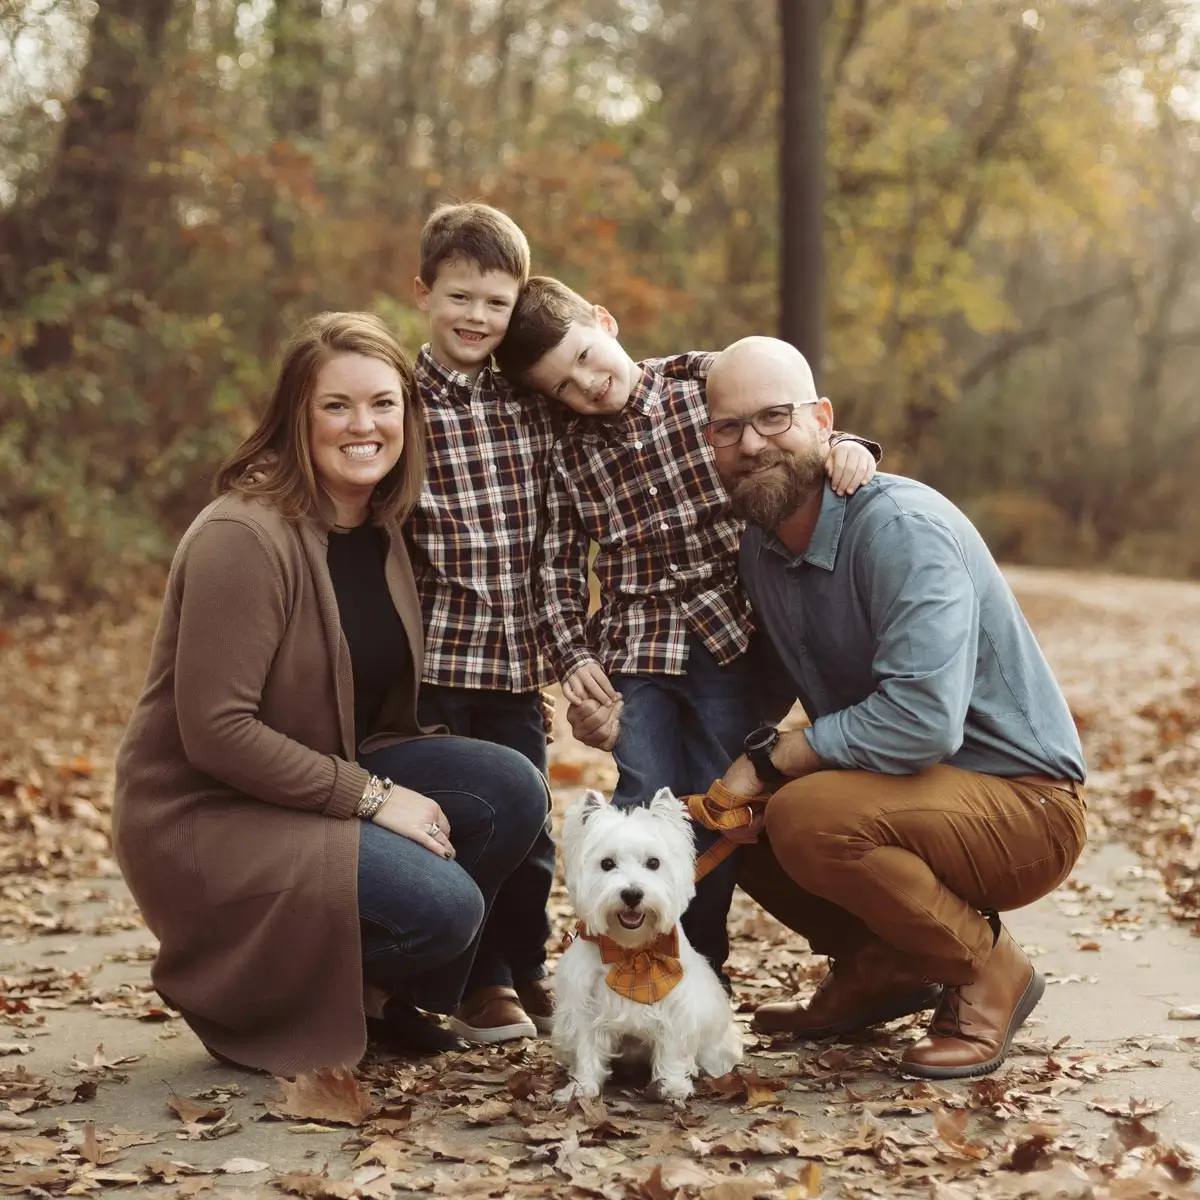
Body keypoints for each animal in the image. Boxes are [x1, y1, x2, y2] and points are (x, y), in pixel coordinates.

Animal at [552, 787, 739, 1104]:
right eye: (606, 864)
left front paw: (672, 1086)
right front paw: (581, 1088)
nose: (632, 894)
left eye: (654, 863)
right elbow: (586, 1046)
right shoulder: (582, 1004)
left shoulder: (678, 1005)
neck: (632, 950)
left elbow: (673, 1049)